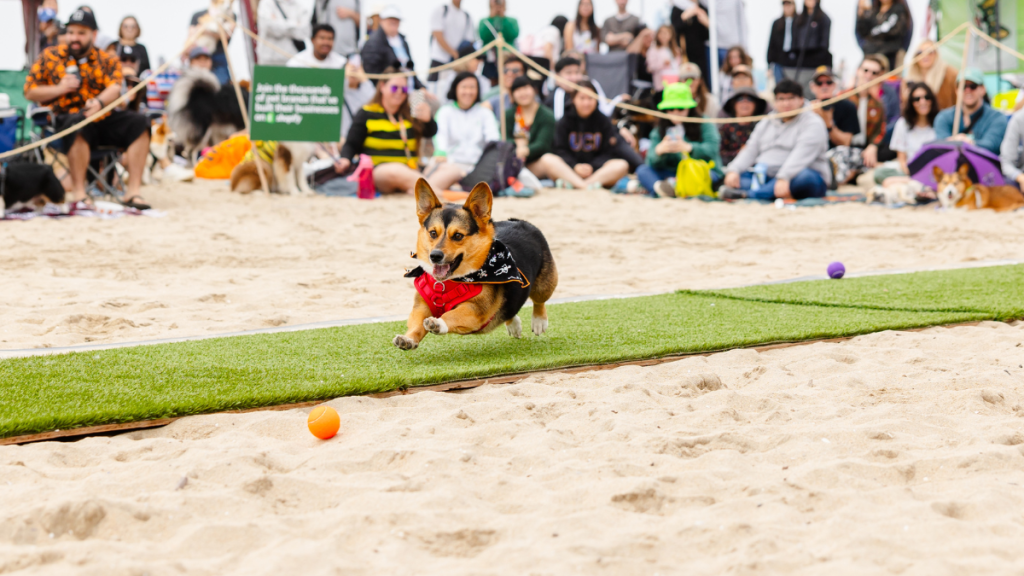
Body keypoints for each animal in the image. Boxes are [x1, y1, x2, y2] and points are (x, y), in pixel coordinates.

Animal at [393, 179, 561, 350]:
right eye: (433, 233)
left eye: (458, 235)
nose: (435, 256)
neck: (448, 282)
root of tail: (519, 221)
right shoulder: (421, 306)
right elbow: (416, 324)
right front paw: (408, 339)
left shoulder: (475, 310)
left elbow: (452, 315)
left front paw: (438, 323)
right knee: (511, 308)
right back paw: (513, 324)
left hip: (544, 285)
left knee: (539, 301)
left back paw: (539, 321)